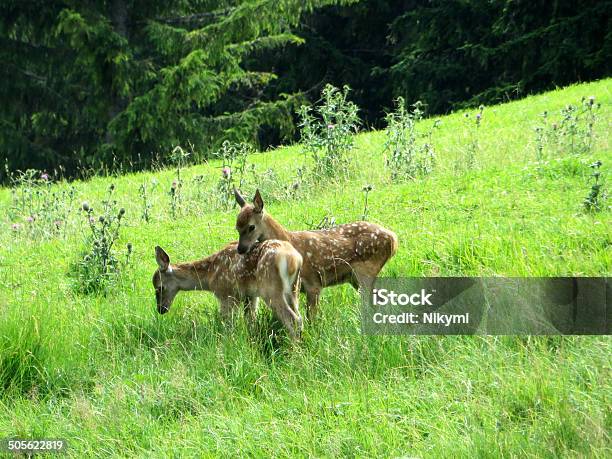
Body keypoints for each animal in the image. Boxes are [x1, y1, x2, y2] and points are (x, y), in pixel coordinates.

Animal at [152, 239, 304, 340]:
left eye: (159, 287)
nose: (161, 309)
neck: (209, 275)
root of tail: (294, 259)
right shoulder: (250, 295)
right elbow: (251, 320)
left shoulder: (226, 294)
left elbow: (227, 323)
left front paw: (228, 342)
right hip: (293, 289)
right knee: (300, 316)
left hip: (271, 288)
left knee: (293, 319)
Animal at [232, 188, 400, 320]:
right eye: (237, 227)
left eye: (251, 227)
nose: (240, 249)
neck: (288, 239)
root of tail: (393, 238)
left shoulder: (314, 283)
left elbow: (311, 318)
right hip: (355, 279)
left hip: (366, 271)